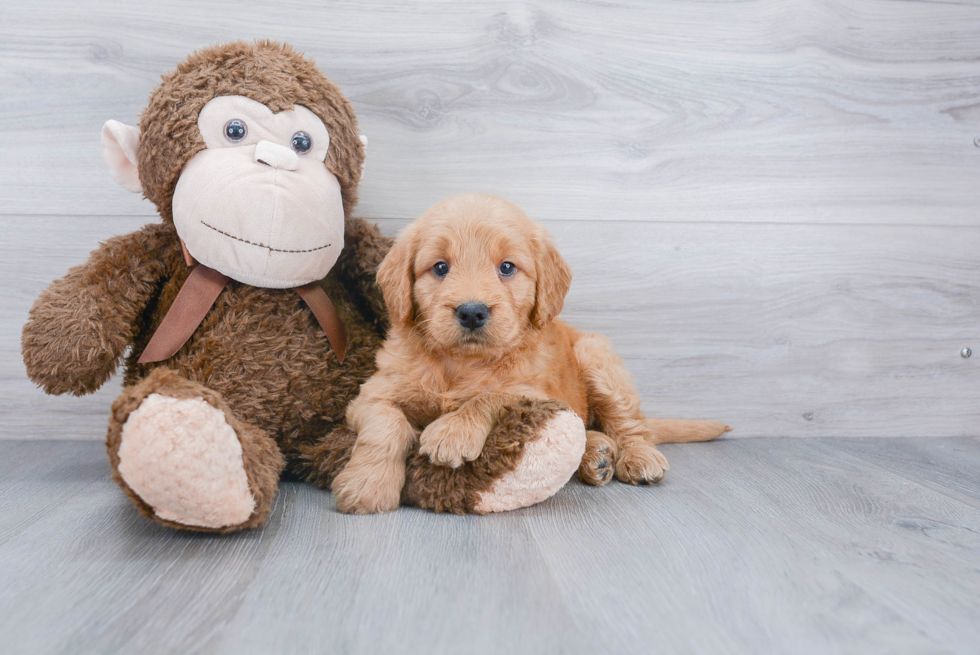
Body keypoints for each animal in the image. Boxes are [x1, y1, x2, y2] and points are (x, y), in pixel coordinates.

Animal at [334, 192, 732, 516]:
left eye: (507, 267)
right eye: (440, 267)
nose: (472, 312)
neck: (461, 363)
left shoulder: (536, 391)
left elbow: (491, 396)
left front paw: (453, 431)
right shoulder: (372, 393)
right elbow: (386, 425)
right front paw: (367, 486)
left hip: (596, 355)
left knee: (630, 424)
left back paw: (637, 456)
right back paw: (597, 453)